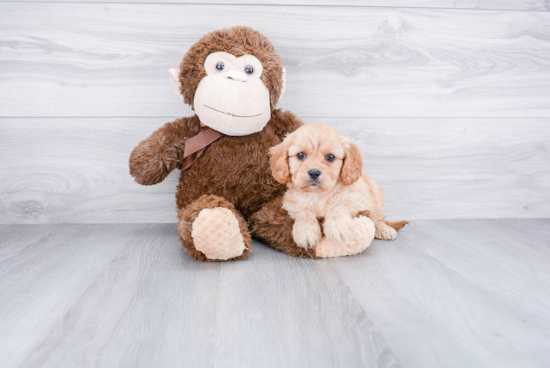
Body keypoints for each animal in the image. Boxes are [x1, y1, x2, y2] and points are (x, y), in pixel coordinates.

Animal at [270, 124, 408, 250]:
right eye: (300, 155)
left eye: (330, 157)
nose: (314, 172)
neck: (318, 194)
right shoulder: (291, 203)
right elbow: (304, 211)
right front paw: (306, 231)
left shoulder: (357, 198)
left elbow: (339, 204)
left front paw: (338, 228)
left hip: (376, 194)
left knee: (378, 218)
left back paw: (384, 229)